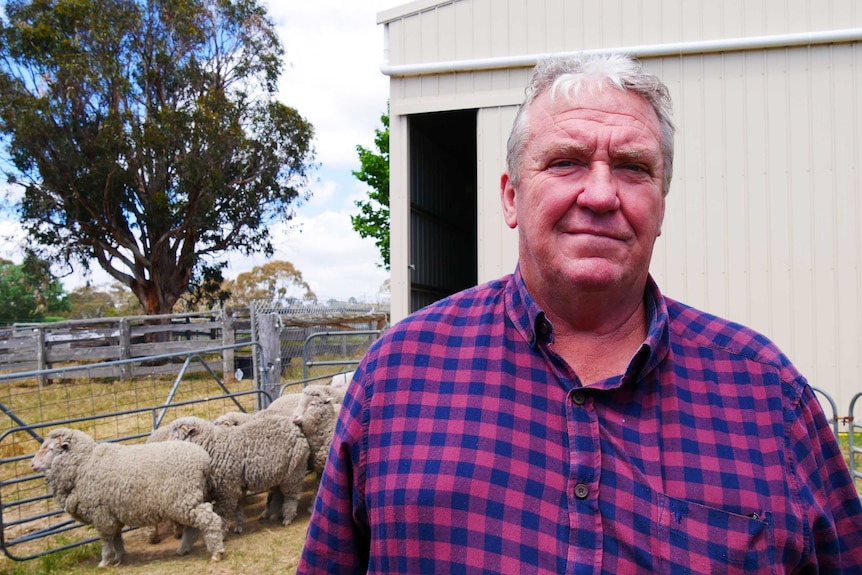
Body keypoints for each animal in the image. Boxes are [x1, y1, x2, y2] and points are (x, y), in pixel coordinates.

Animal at [30, 428, 224, 568]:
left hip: (183, 499)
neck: (82, 466)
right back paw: (183, 549)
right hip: (187, 500)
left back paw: (216, 552)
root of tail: (204, 460)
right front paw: (119, 557)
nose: (31, 465)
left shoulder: (100, 514)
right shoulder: (111, 514)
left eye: (50, 449)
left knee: (209, 520)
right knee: (193, 526)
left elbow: (106, 541)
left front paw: (104, 562)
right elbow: (117, 538)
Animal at [168, 412, 310, 532]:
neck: (212, 445)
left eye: (177, 435)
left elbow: (224, 514)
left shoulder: (227, 490)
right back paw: (274, 514)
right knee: (277, 493)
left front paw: (223, 531)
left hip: (294, 473)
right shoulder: (236, 487)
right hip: (279, 475)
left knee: (291, 496)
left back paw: (288, 517)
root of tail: (294, 426)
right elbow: (238, 508)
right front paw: (239, 527)